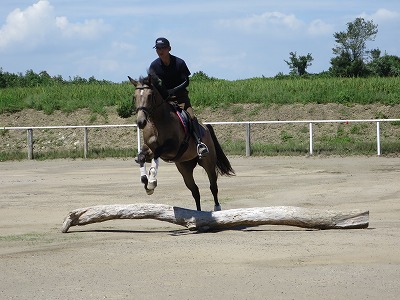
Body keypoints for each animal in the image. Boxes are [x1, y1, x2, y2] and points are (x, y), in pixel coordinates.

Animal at [128, 73, 234, 211]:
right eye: (134, 97)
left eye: (150, 96)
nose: (140, 122)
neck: (158, 122)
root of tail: (205, 127)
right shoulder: (149, 148)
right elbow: (141, 157)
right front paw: (146, 182)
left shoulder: (172, 148)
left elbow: (157, 154)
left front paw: (151, 182)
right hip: (185, 168)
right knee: (195, 191)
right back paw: (198, 213)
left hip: (208, 163)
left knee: (213, 186)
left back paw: (217, 208)